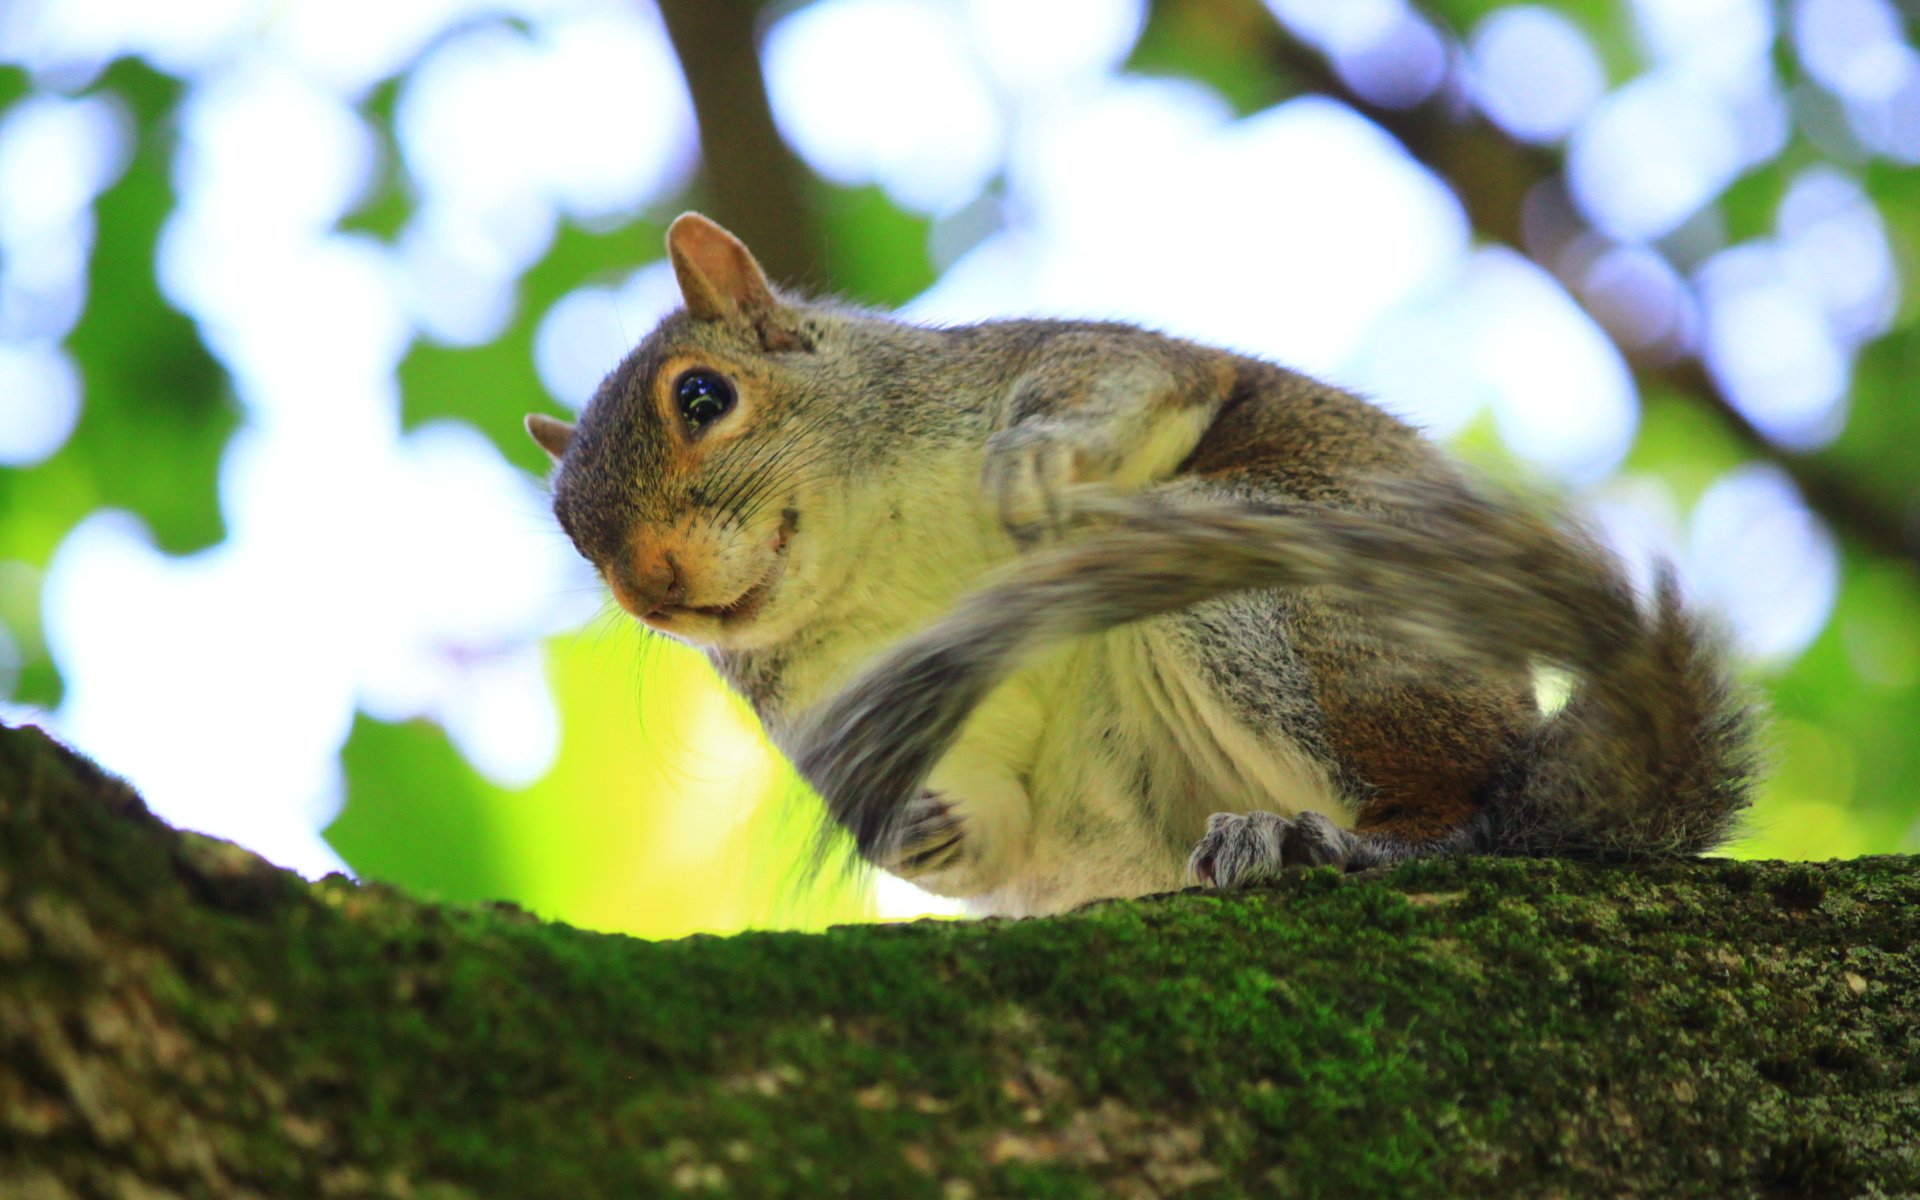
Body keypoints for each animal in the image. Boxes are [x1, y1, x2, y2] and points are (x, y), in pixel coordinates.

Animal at [522, 210, 1758, 913]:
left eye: (701, 397)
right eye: (570, 532)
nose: (651, 590)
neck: (875, 557)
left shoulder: (1056, 366)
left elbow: (1134, 384)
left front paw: (1031, 459)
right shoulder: (846, 705)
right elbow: (984, 827)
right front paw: (913, 826)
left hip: (1278, 605)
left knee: (1461, 818)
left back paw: (1336, 843)